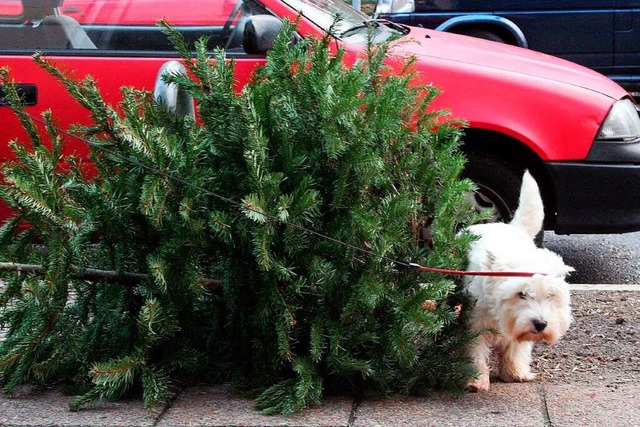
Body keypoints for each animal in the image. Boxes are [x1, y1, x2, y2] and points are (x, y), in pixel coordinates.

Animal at [462, 171, 572, 392]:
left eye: (550, 296)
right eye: (522, 294)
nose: (541, 323)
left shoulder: (519, 327)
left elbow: (516, 348)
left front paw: (515, 373)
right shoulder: (476, 324)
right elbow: (476, 352)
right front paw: (476, 381)